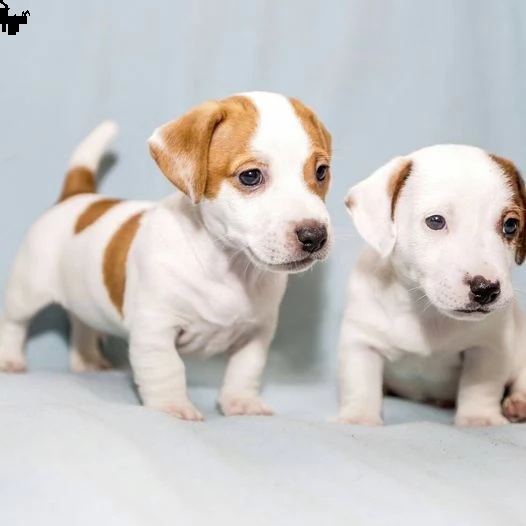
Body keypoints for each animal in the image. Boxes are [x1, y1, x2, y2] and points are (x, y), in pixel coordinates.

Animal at [0, 91, 334, 420]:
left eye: (321, 172)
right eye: (250, 176)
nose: (315, 236)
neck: (228, 266)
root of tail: (77, 196)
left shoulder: (257, 333)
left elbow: (246, 369)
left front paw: (241, 403)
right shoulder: (155, 329)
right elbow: (167, 370)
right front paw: (172, 407)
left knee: (82, 324)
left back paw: (88, 360)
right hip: (27, 290)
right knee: (14, 323)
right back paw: (10, 359)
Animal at [338, 145, 526, 428]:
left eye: (511, 225)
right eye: (436, 221)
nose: (486, 288)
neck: (425, 311)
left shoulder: (489, 347)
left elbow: (481, 386)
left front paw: (479, 418)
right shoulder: (361, 340)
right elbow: (360, 383)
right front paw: (359, 418)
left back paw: (518, 403)